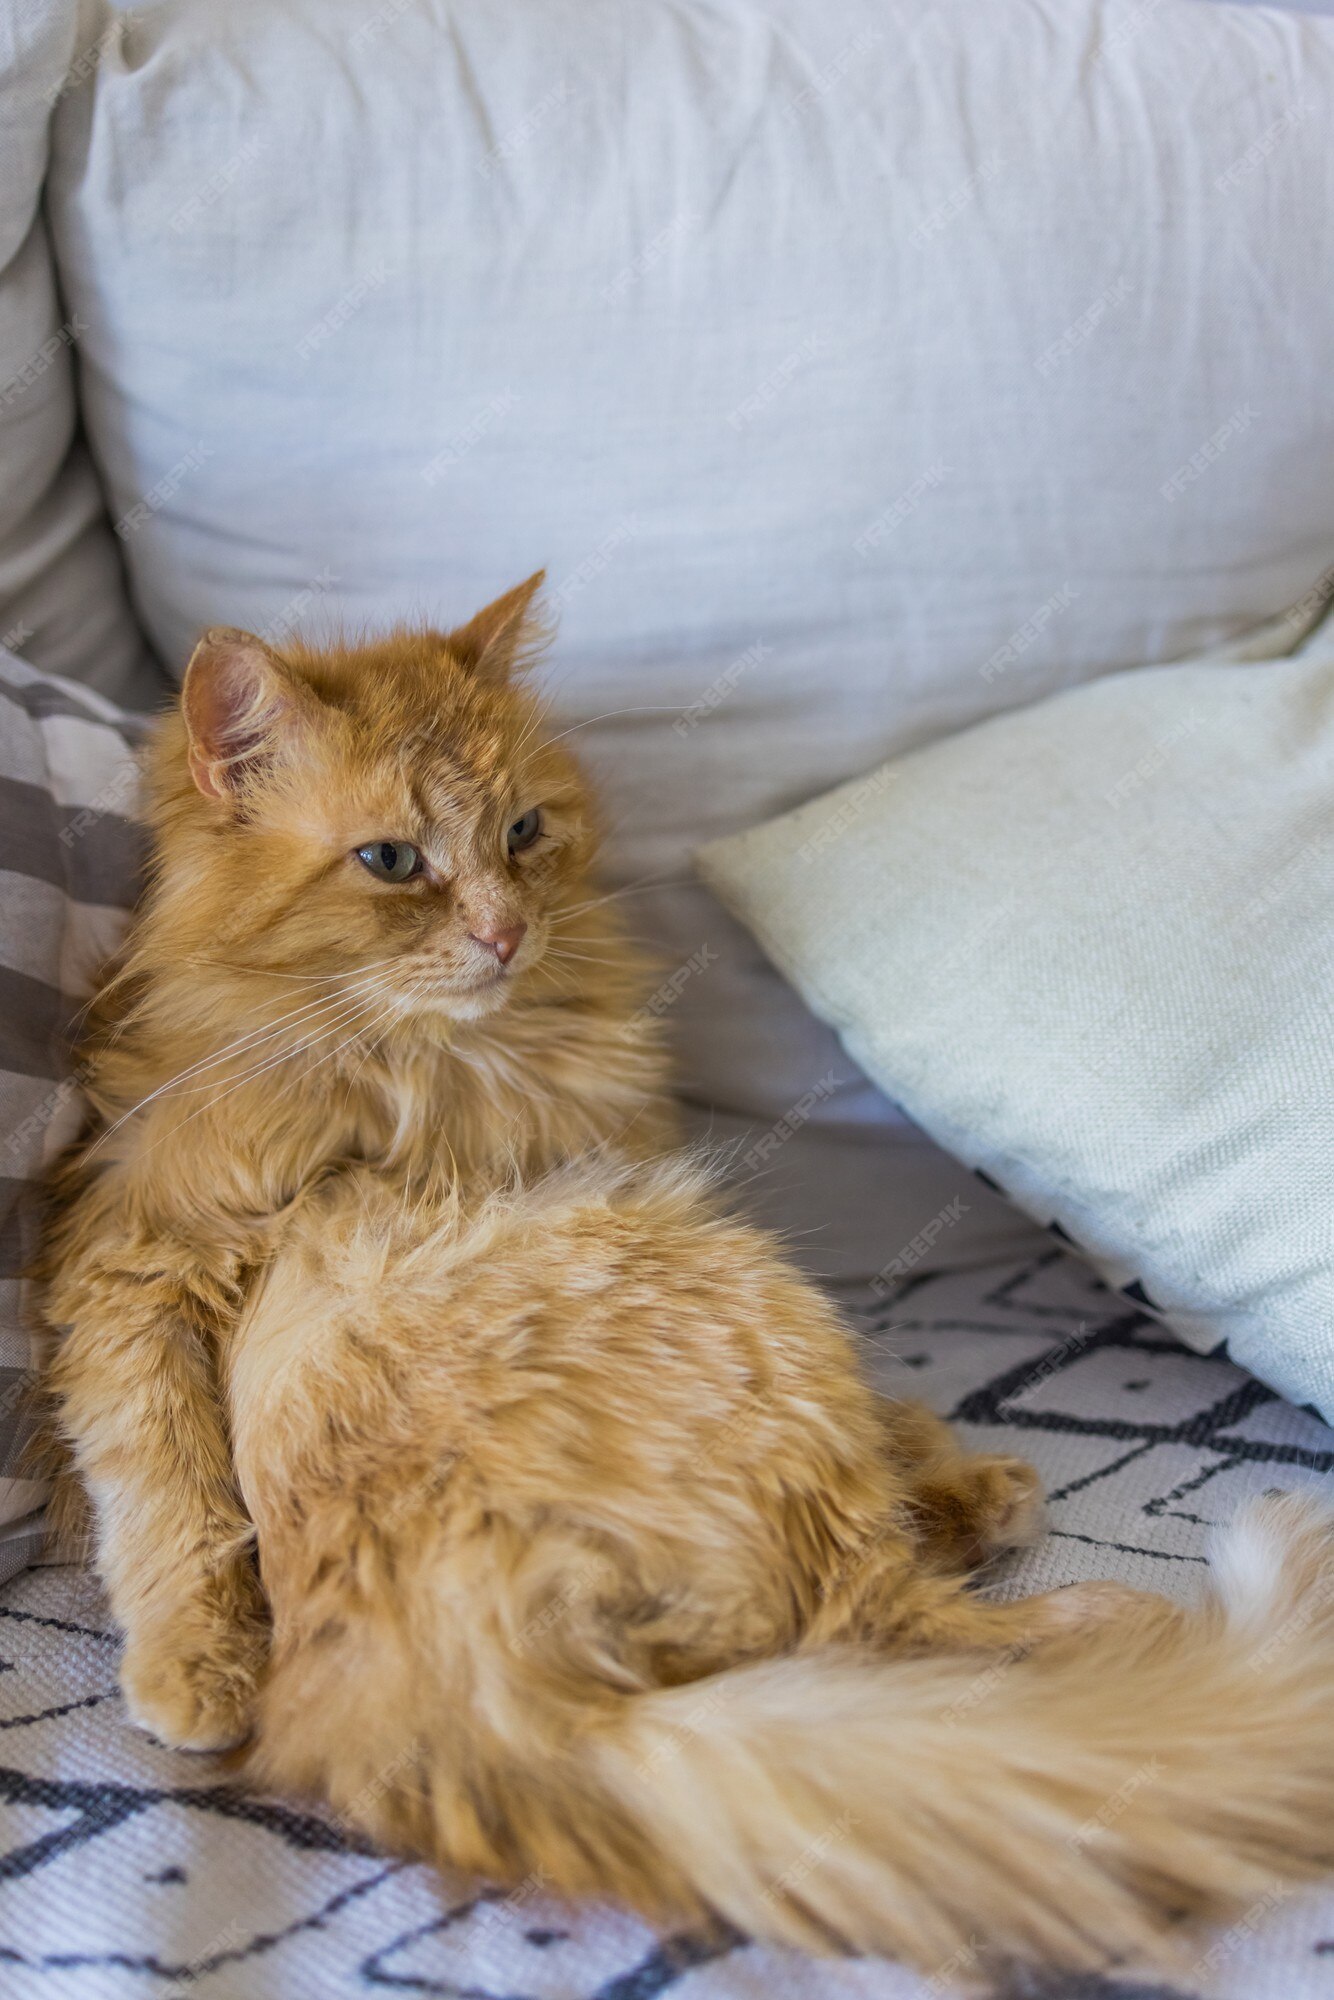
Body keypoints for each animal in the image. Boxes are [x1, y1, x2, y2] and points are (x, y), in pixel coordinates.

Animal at [39, 580, 1334, 1984]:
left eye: (523, 831)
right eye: (392, 861)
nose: (505, 931)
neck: (440, 1075)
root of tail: (498, 1694)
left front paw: (940, 1454)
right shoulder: (136, 1264)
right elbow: (168, 1493)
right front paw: (197, 1669)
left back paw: (975, 1507)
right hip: (728, 1275)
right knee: (880, 1625)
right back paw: (1094, 1606)